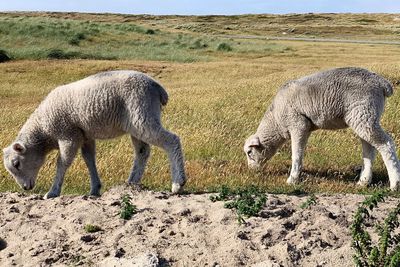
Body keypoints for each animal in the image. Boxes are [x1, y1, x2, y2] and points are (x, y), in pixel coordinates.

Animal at [2, 70, 187, 199]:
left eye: (17, 163)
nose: (25, 188)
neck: (44, 130)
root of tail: (158, 88)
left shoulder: (68, 134)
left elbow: (62, 163)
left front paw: (53, 192)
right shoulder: (85, 136)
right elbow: (89, 160)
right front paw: (94, 189)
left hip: (142, 113)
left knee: (172, 140)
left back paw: (178, 183)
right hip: (137, 121)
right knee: (142, 151)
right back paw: (131, 182)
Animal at [244, 68, 400, 192]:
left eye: (249, 152)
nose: (251, 171)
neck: (275, 121)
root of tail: (382, 83)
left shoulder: (297, 124)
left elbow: (296, 154)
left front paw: (292, 180)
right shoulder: (306, 128)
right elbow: (300, 153)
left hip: (363, 112)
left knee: (386, 144)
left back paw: (394, 184)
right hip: (364, 117)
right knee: (369, 148)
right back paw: (363, 182)